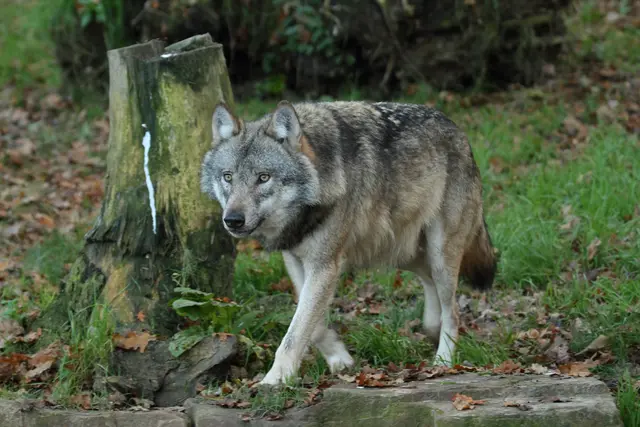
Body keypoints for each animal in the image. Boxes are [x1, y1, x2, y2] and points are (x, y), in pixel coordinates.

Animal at [200, 100, 497, 385]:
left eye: (263, 177)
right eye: (228, 176)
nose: (233, 220)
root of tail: (458, 130)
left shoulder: (324, 266)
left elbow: (297, 331)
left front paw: (275, 379)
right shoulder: (296, 260)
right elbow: (312, 324)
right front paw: (339, 358)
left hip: (438, 253)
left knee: (453, 311)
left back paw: (443, 360)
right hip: (403, 253)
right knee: (429, 284)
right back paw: (431, 328)